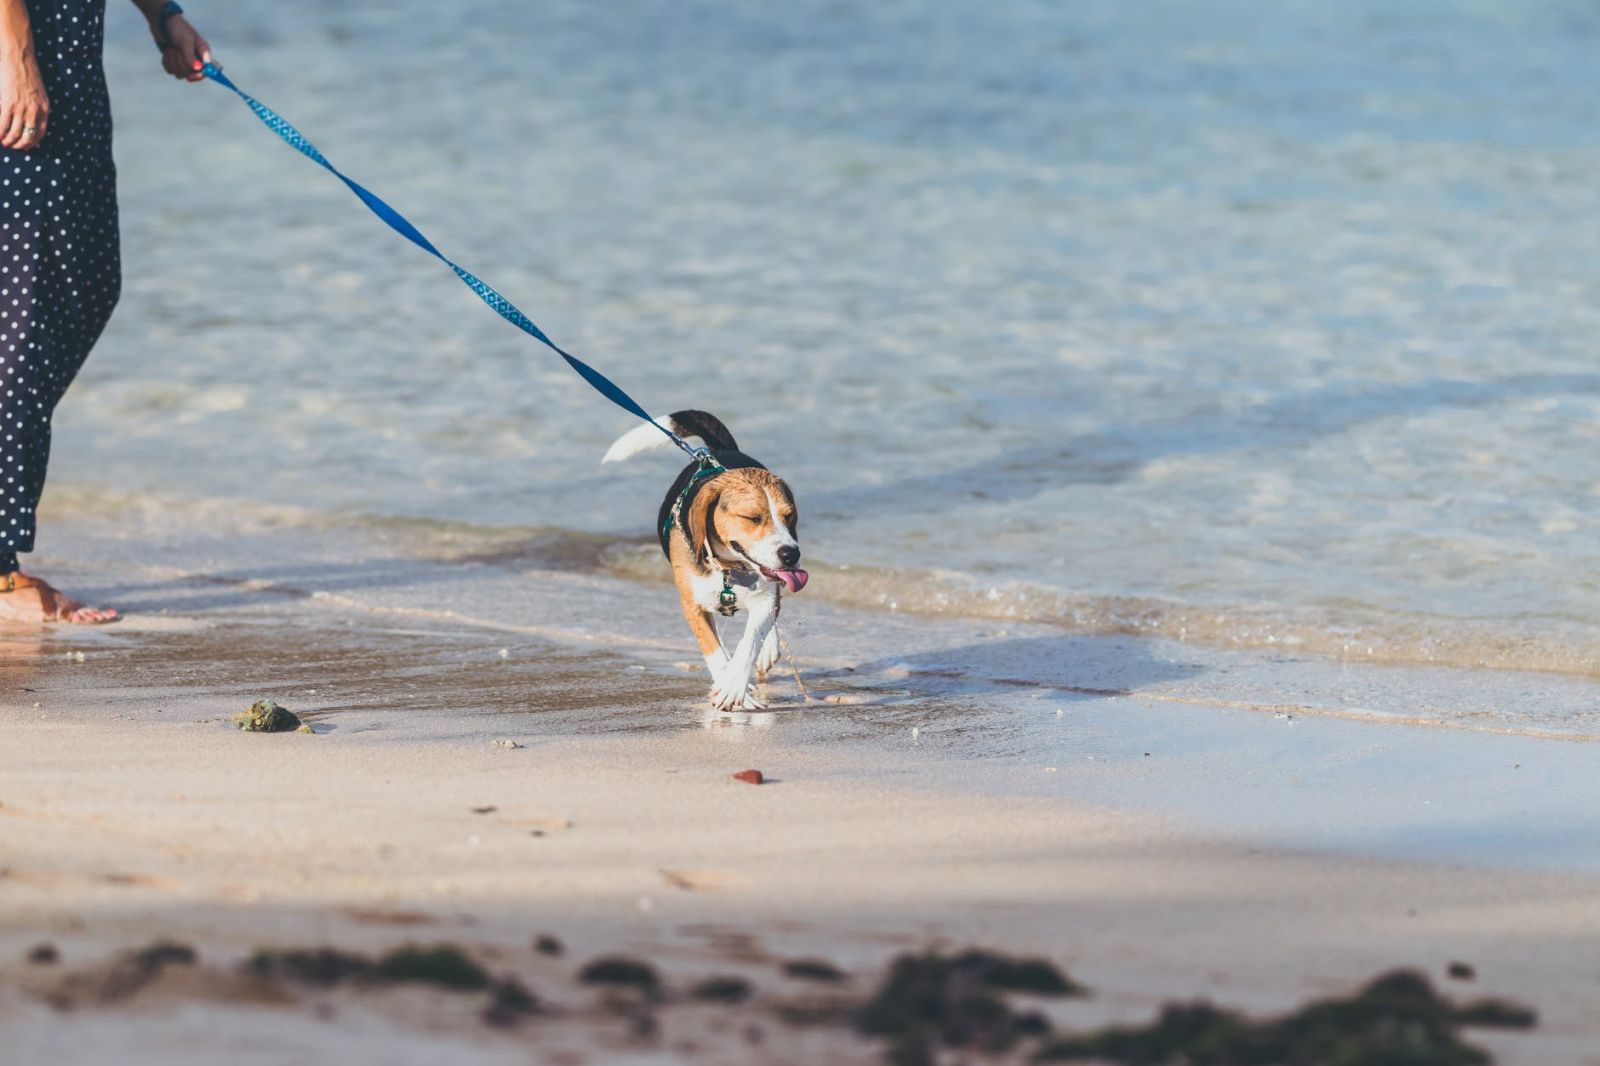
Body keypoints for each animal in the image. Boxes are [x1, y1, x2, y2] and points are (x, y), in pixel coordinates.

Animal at [601, 409, 806, 710]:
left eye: (789, 516)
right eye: (752, 518)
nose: (791, 554)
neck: (728, 569)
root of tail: (718, 451)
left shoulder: (764, 599)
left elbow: (750, 640)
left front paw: (735, 686)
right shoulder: (692, 605)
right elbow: (714, 650)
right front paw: (731, 685)